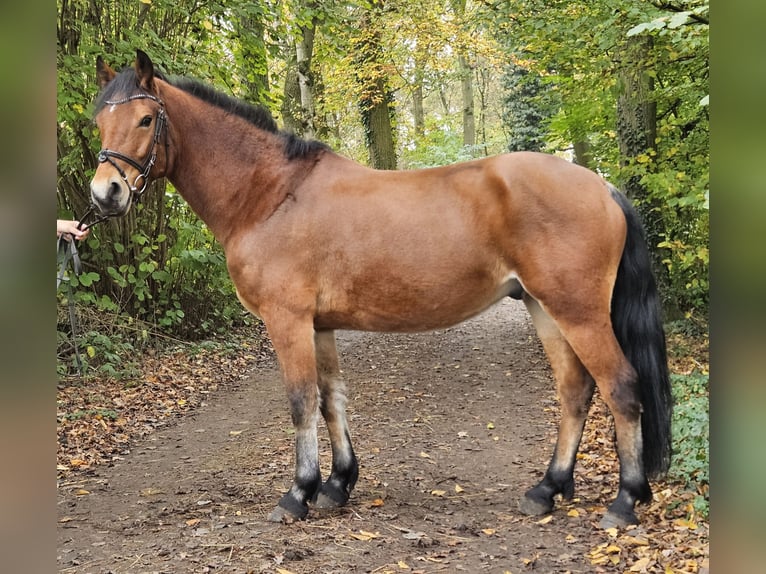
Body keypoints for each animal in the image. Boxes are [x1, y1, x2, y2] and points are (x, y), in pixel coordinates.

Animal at [87, 51, 668, 532]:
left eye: (145, 119)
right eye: (99, 120)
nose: (104, 194)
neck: (271, 195)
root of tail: (602, 185)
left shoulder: (287, 320)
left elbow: (301, 401)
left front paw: (298, 494)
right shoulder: (319, 324)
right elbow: (331, 399)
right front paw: (337, 484)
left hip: (579, 312)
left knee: (620, 388)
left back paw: (624, 502)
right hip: (543, 308)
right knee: (575, 390)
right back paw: (547, 489)